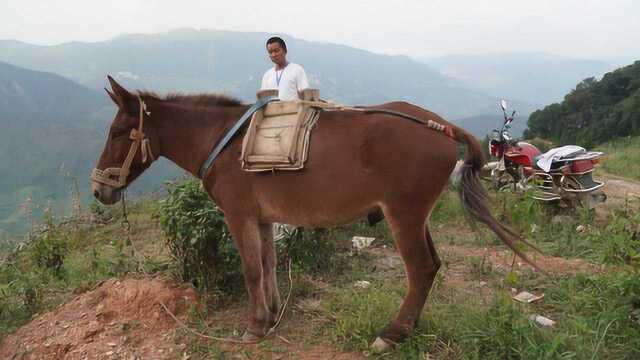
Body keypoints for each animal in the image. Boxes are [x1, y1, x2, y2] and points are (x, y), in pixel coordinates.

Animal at [89, 76, 528, 352]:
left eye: (117, 133)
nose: (98, 190)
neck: (223, 142)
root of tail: (441, 126)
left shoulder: (238, 215)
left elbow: (251, 269)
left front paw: (255, 325)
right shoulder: (262, 217)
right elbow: (267, 264)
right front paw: (271, 314)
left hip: (403, 216)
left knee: (420, 269)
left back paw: (392, 334)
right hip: (417, 218)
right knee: (433, 266)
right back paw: (410, 326)